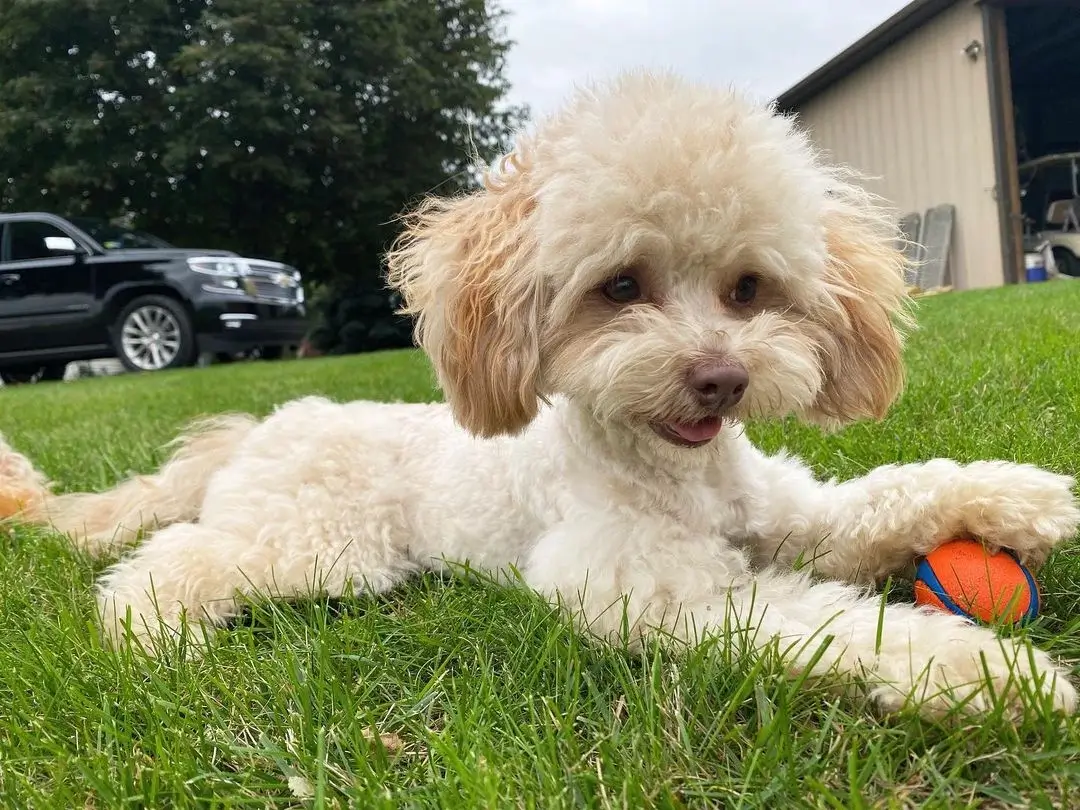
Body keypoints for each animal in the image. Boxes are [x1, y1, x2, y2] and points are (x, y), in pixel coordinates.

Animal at [2, 68, 1080, 717]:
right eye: (621, 287)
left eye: (748, 288)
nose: (720, 376)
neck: (676, 475)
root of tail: (266, 426)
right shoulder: (643, 589)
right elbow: (824, 622)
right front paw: (991, 675)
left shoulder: (795, 517)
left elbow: (889, 495)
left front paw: (1024, 499)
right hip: (321, 543)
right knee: (171, 557)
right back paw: (152, 638)